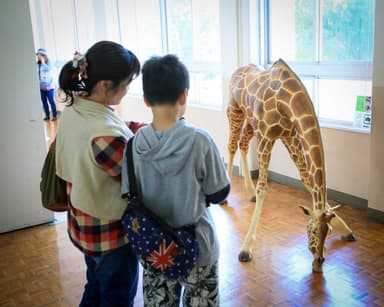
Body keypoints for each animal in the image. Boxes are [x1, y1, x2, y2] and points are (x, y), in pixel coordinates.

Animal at [226, 59, 356, 274]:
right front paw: (245, 249)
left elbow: (306, 178)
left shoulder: (290, 135)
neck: (284, 101)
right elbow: (263, 188)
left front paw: (345, 229)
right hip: (234, 112)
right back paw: (225, 196)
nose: (318, 263)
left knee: (242, 143)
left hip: (250, 121)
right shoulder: (266, 137)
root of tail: (238, 69)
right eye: (313, 230)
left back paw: (249, 191)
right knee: (231, 144)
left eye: (328, 231)